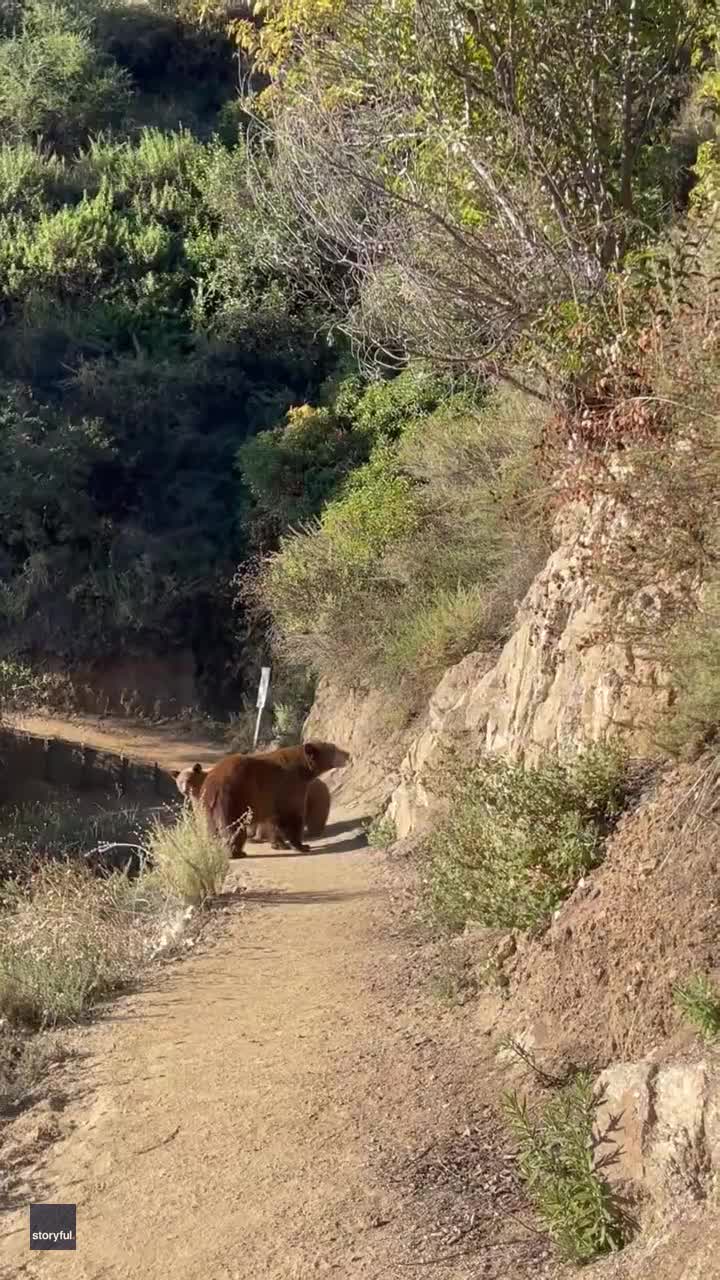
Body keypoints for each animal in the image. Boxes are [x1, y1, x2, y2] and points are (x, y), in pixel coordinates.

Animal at [198, 740, 349, 856]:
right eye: (334, 749)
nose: (347, 754)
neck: (303, 769)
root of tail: (213, 786)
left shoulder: (273, 797)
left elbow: (274, 820)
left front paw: (279, 844)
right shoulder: (290, 785)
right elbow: (292, 816)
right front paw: (302, 846)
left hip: (207, 808)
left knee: (212, 829)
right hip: (233, 799)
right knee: (234, 827)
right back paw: (236, 852)